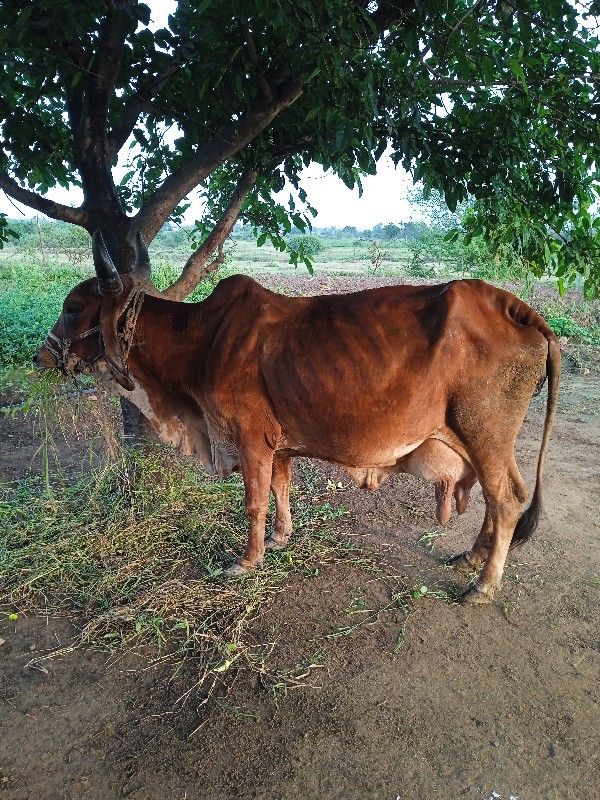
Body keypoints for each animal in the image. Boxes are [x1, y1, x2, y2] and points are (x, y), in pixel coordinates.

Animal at [36, 230, 564, 600]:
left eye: (73, 307)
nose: (41, 357)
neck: (201, 340)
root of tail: (517, 307)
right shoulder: (279, 444)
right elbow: (280, 490)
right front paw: (280, 538)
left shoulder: (249, 437)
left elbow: (253, 501)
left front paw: (246, 560)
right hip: (481, 441)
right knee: (500, 499)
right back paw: (471, 559)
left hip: (484, 434)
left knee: (506, 500)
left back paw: (483, 586)